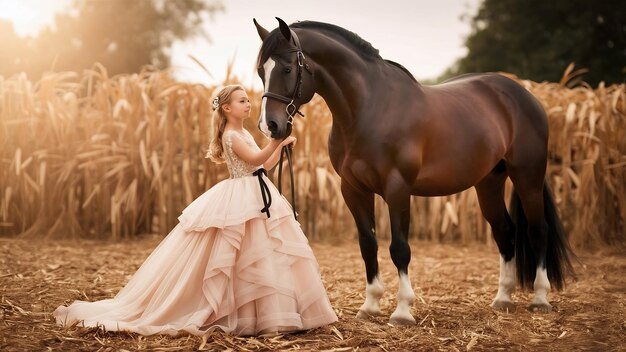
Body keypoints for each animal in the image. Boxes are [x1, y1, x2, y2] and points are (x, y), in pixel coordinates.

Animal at [251, 17, 572, 324]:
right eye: (261, 71)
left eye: (288, 68)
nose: (270, 126)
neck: (370, 109)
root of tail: (524, 95)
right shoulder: (352, 188)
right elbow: (368, 244)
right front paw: (370, 306)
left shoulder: (398, 188)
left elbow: (399, 248)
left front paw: (403, 311)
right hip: (489, 182)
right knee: (505, 231)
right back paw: (503, 298)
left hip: (528, 177)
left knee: (537, 229)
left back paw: (540, 299)